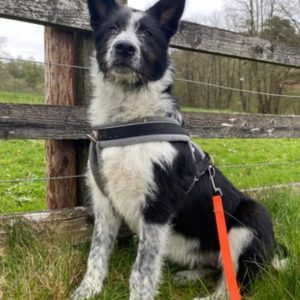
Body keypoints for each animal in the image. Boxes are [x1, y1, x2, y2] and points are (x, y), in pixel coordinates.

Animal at [70, 0, 284, 300]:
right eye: (113, 28)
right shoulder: (104, 204)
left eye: (147, 33)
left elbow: (142, 270)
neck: (130, 122)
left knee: (234, 283)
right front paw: (88, 290)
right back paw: (191, 274)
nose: (124, 47)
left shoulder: (156, 208)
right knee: (216, 269)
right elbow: (97, 253)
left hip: (249, 221)